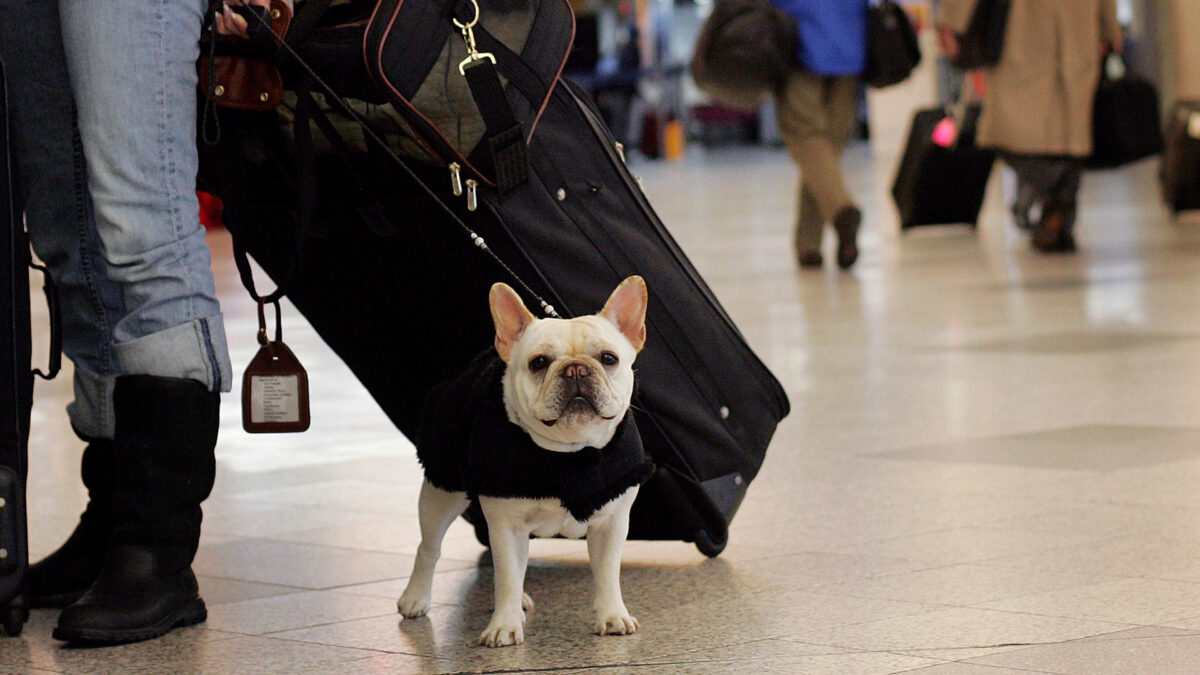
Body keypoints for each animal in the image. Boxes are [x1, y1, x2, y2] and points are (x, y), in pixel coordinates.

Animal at [398, 275, 652, 648]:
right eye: (539, 362)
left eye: (609, 358)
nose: (576, 369)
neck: (570, 450)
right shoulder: (507, 525)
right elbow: (506, 576)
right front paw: (503, 625)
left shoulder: (612, 522)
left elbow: (607, 573)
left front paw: (612, 616)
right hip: (442, 494)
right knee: (429, 547)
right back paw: (416, 597)